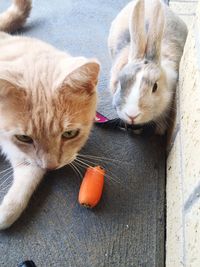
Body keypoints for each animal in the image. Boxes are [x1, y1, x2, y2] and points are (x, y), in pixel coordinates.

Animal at [0, 0, 100, 230]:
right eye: (24, 137)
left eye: (70, 134)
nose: (52, 166)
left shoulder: (25, 159)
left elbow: (28, 179)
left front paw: (6, 211)